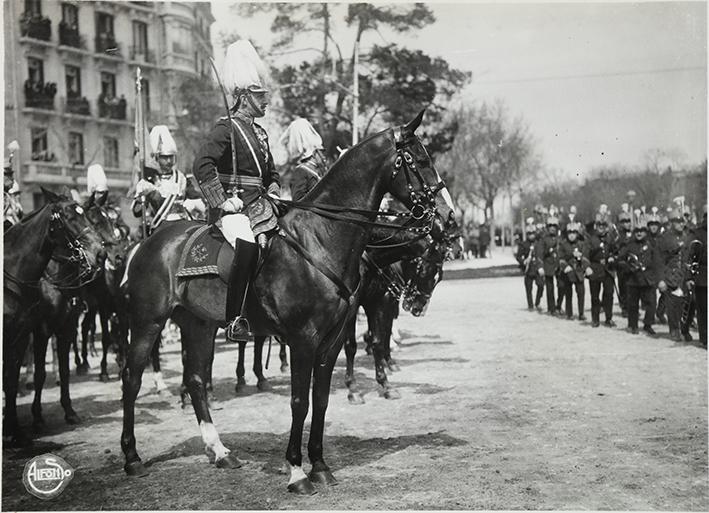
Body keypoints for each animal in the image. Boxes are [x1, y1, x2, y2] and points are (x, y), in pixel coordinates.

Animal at [3, 188, 106, 444]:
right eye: (69, 218)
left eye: (86, 216)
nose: (101, 253)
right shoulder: (40, 330)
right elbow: (39, 374)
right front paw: (37, 418)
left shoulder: (62, 328)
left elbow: (62, 370)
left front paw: (69, 411)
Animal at [119, 113, 454, 492]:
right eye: (419, 160)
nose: (448, 215)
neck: (320, 239)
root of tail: (148, 241)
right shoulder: (303, 340)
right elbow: (299, 401)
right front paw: (296, 470)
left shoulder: (330, 341)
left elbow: (321, 400)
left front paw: (320, 465)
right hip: (148, 322)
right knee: (132, 378)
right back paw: (132, 457)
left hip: (199, 325)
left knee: (195, 380)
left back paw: (219, 451)